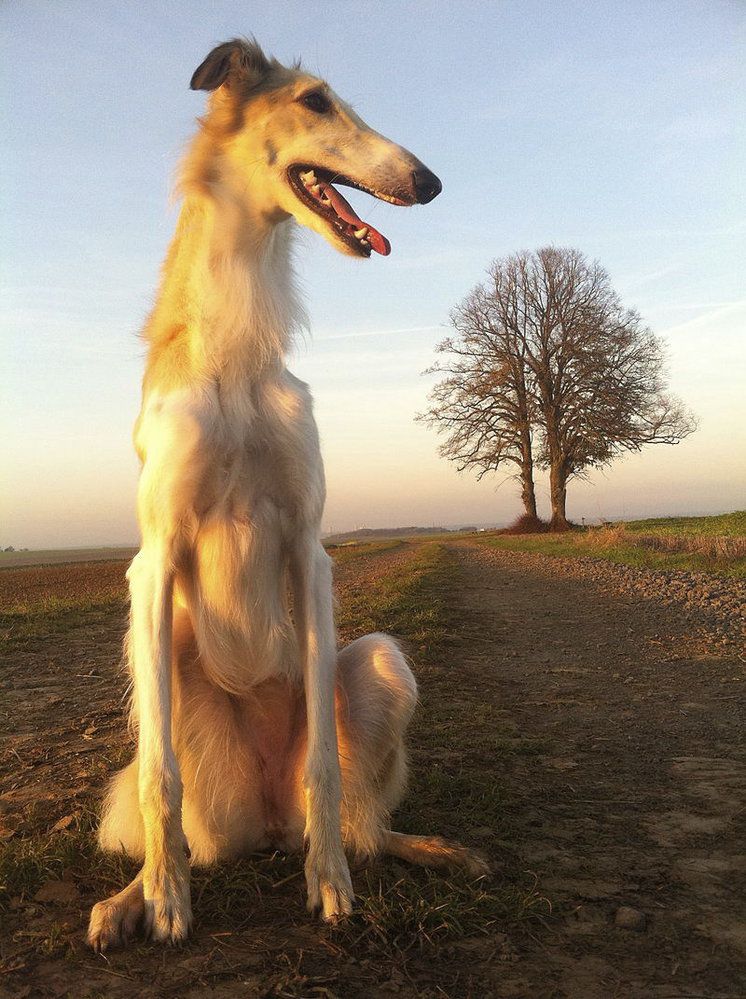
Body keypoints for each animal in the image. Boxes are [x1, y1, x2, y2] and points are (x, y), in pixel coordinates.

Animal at [87, 35, 486, 948]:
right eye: (315, 101)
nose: (430, 181)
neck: (236, 356)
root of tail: (266, 821)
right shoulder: (153, 560)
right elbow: (159, 780)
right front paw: (164, 901)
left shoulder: (309, 545)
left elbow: (327, 774)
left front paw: (329, 883)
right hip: (172, 695)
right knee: (172, 805)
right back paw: (131, 895)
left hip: (379, 660)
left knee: (363, 819)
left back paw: (418, 849)